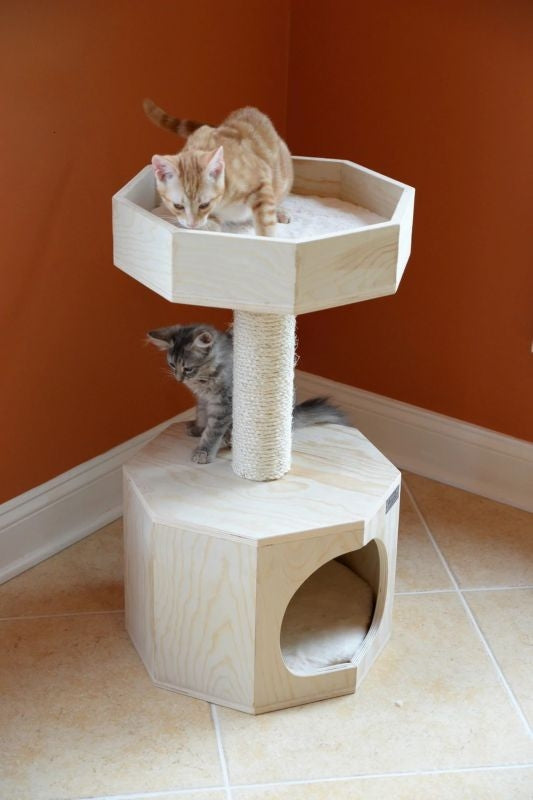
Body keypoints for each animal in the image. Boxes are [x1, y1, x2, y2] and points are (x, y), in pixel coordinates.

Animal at [143, 99, 293, 236]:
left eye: (204, 205)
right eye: (178, 206)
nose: (192, 224)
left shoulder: (260, 179)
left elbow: (266, 224)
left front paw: (267, 239)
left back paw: (280, 212)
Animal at [148, 323, 347, 464]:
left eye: (188, 368)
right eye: (172, 365)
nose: (179, 379)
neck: (204, 380)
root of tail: (294, 413)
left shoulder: (224, 404)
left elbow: (212, 431)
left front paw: (203, 452)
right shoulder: (204, 400)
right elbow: (202, 415)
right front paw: (198, 428)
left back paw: (229, 439)